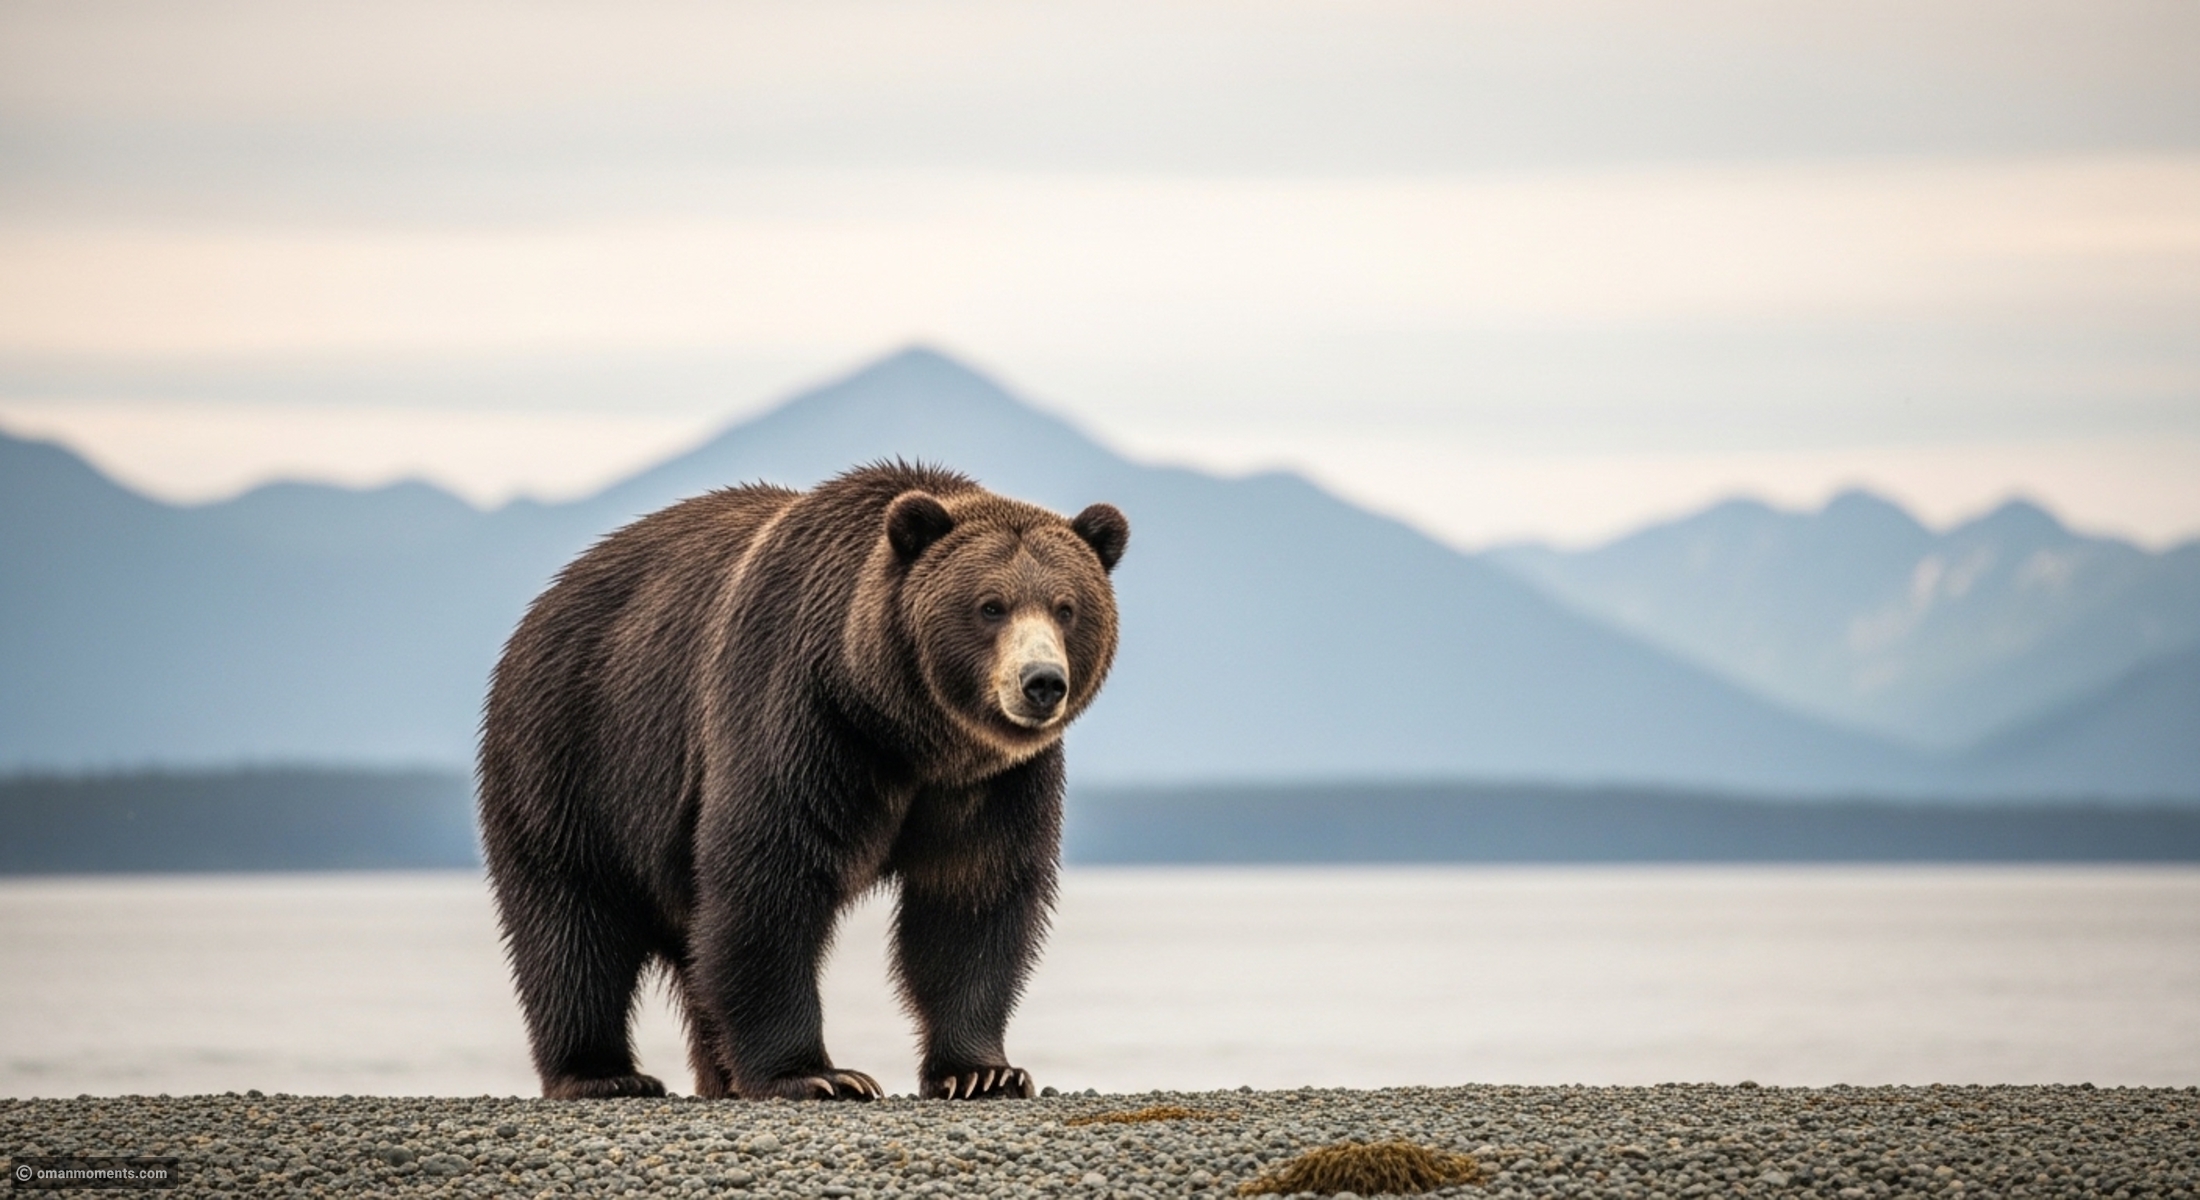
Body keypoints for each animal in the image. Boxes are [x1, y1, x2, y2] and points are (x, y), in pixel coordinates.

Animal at [477, 461, 1128, 1102]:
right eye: (991, 605)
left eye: (1066, 607)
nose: (1041, 682)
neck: (907, 730)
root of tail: (545, 602)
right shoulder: (802, 716)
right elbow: (768, 880)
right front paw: (817, 1073)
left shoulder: (994, 781)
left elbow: (972, 897)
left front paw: (983, 1071)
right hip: (575, 755)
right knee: (574, 923)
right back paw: (604, 1072)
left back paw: (719, 1078)